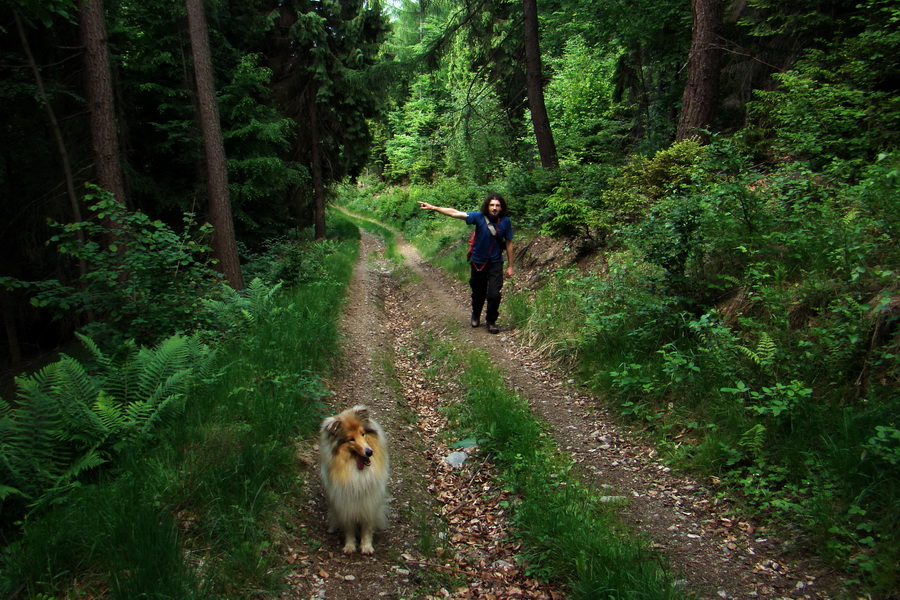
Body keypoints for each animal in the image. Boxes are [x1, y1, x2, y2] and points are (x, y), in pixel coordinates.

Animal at [318, 406, 388, 556]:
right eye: (351, 439)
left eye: (363, 434)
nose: (369, 452)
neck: (357, 469)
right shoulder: (346, 505)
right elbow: (349, 529)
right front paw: (350, 546)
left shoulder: (369, 503)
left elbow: (367, 528)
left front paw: (366, 547)